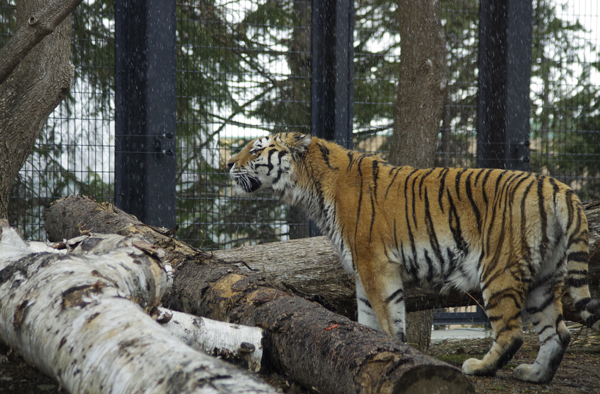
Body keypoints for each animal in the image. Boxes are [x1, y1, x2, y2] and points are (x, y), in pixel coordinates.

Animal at [226, 131, 600, 384]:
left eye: (256, 148)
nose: (227, 163)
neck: (312, 187)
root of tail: (559, 186)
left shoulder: (376, 265)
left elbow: (389, 318)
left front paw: (390, 356)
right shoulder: (364, 270)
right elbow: (368, 317)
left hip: (500, 271)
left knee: (512, 334)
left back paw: (479, 367)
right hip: (544, 277)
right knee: (558, 333)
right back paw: (534, 375)